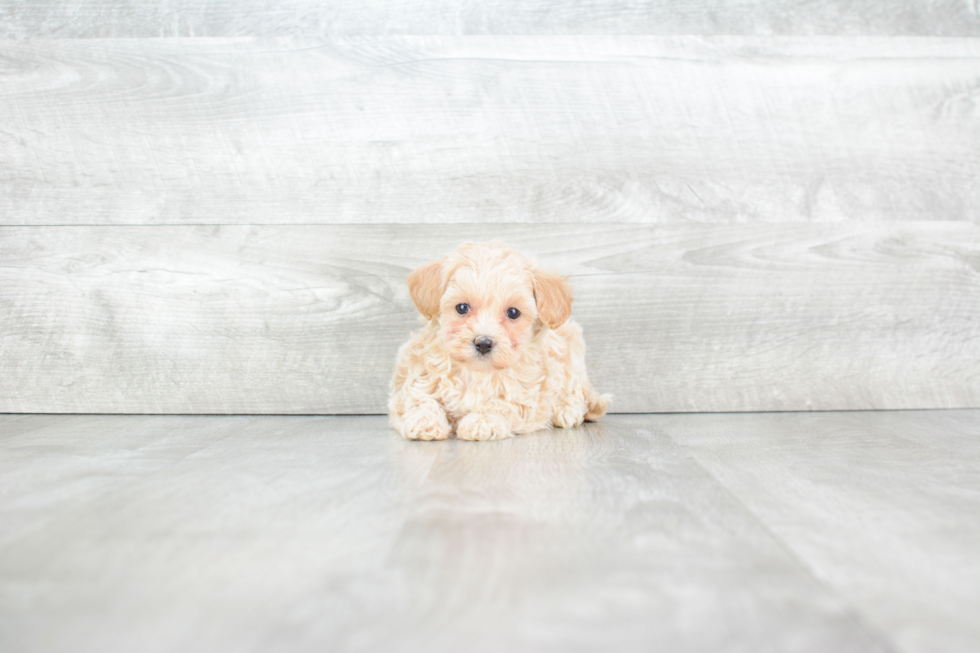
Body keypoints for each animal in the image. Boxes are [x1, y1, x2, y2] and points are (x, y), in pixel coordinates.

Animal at [388, 242, 604, 440]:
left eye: (513, 312)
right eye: (462, 307)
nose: (483, 343)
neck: (476, 372)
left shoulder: (525, 398)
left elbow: (499, 404)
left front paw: (482, 421)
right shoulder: (415, 376)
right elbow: (419, 398)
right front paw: (424, 420)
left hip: (573, 355)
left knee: (580, 393)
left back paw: (567, 410)